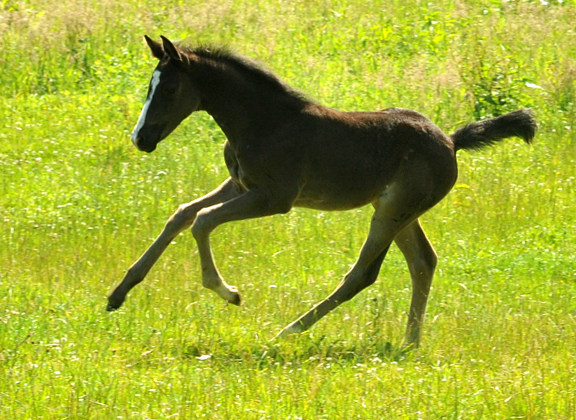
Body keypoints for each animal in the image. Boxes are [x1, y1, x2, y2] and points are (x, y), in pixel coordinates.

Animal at [108, 35, 536, 348]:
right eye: (149, 86)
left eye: (169, 88)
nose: (141, 139)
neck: (265, 122)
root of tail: (450, 140)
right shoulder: (240, 184)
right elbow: (181, 214)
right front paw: (119, 292)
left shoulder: (275, 197)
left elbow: (202, 220)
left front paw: (228, 292)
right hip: (398, 210)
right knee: (423, 262)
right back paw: (410, 342)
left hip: (393, 211)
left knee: (363, 273)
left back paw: (289, 330)